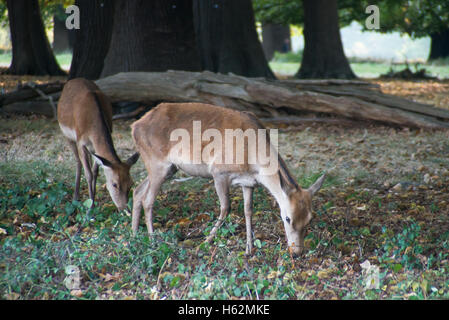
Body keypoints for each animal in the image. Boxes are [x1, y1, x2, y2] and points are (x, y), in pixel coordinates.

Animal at [57, 78, 138, 211]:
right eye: (114, 184)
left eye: (131, 183)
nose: (124, 208)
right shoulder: (80, 142)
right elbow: (88, 174)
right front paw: (91, 207)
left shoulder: (96, 148)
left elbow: (95, 172)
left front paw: (93, 200)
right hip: (67, 136)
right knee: (78, 162)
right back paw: (75, 197)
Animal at [131, 102, 324, 255]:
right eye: (287, 218)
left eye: (310, 218)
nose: (297, 252)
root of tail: (135, 126)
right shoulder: (219, 172)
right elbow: (226, 207)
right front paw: (204, 243)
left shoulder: (249, 183)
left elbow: (248, 210)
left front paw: (249, 248)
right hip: (157, 162)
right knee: (148, 199)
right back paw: (152, 240)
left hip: (168, 168)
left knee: (138, 191)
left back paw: (133, 234)